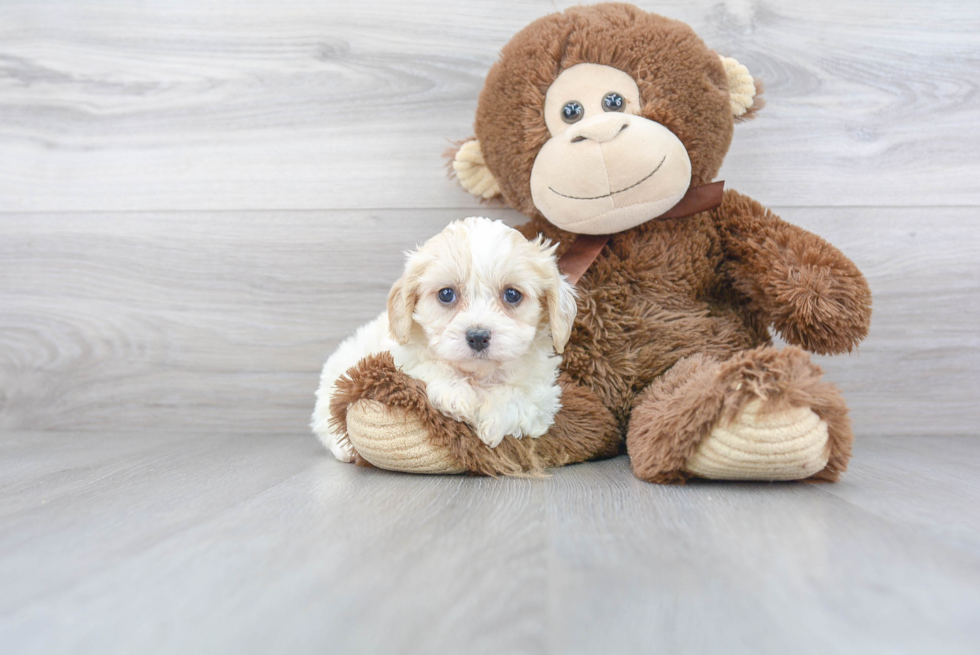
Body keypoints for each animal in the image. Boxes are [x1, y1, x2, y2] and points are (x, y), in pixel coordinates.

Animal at [312, 217, 576, 462]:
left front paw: (493, 419)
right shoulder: (400, 356)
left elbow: (518, 396)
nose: (478, 336)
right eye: (446, 294)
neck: (479, 374)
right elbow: (430, 365)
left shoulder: (543, 396)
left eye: (512, 294)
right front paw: (456, 394)